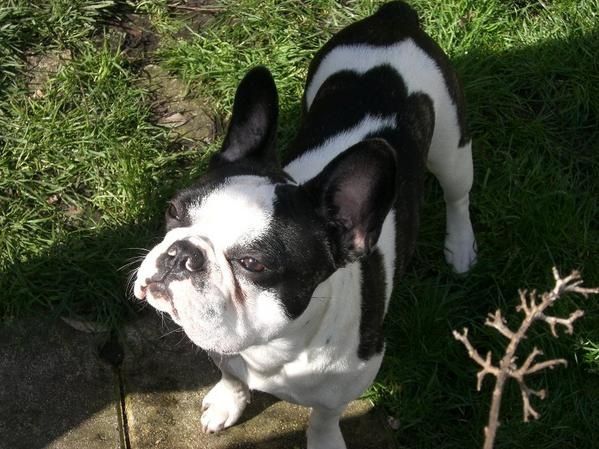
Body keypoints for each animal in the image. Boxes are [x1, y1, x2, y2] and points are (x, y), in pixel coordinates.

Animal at [134, 2, 476, 448]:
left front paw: (324, 440)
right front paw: (228, 401)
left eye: (253, 263)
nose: (181, 254)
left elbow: (324, 416)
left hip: (452, 147)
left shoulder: (352, 379)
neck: (273, 347)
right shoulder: (221, 347)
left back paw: (461, 245)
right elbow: (230, 373)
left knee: (458, 194)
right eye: (173, 211)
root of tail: (394, 20)